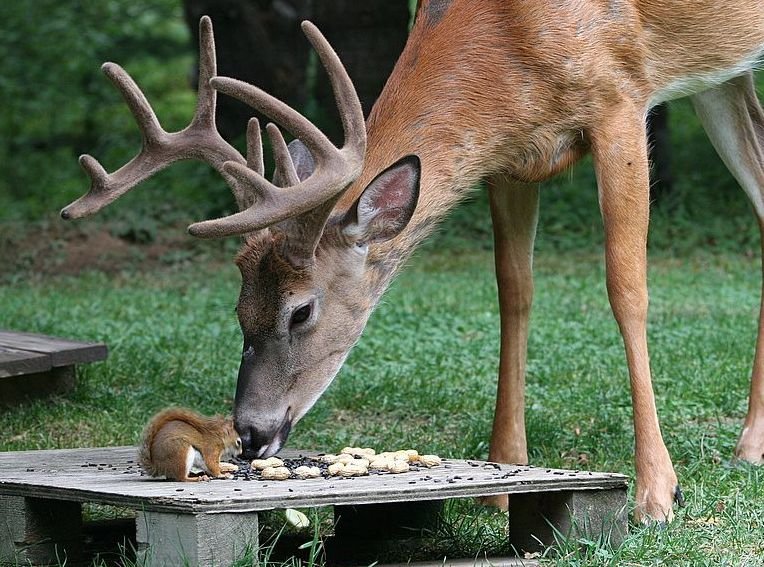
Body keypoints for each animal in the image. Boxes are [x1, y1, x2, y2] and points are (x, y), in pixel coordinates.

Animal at [64, 1, 764, 524]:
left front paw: (657, 493)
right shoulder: (509, 154)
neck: (512, 36)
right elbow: (513, 291)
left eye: (301, 311)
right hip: (725, 77)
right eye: (239, 308)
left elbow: (626, 288)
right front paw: (503, 479)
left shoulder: (620, 100)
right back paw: (750, 446)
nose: (252, 434)